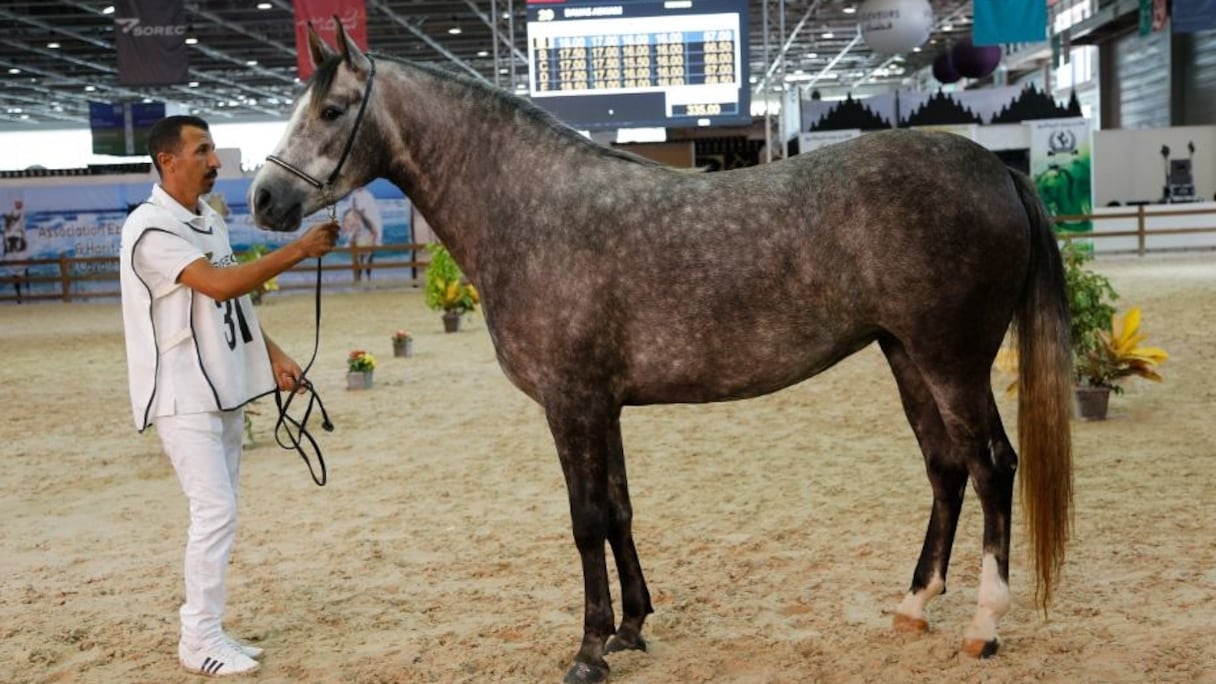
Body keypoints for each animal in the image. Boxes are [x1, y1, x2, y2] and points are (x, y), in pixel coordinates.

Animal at [249, 22, 1074, 681]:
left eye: (330, 110)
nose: (263, 200)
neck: (531, 210)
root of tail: (998, 169)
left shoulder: (572, 402)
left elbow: (585, 520)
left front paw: (587, 652)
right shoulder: (604, 405)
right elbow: (619, 509)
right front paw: (631, 629)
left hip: (952, 361)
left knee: (992, 466)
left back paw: (983, 626)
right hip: (904, 355)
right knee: (945, 469)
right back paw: (913, 606)